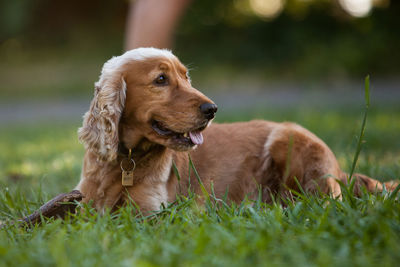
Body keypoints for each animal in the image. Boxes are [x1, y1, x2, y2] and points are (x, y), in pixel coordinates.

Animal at [76, 48, 396, 215]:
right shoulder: (84, 203)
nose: (212, 109)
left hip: (288, 140)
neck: (126, 161)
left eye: (186, 77)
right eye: (161, 79)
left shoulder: (153, 211)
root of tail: (341, 170)